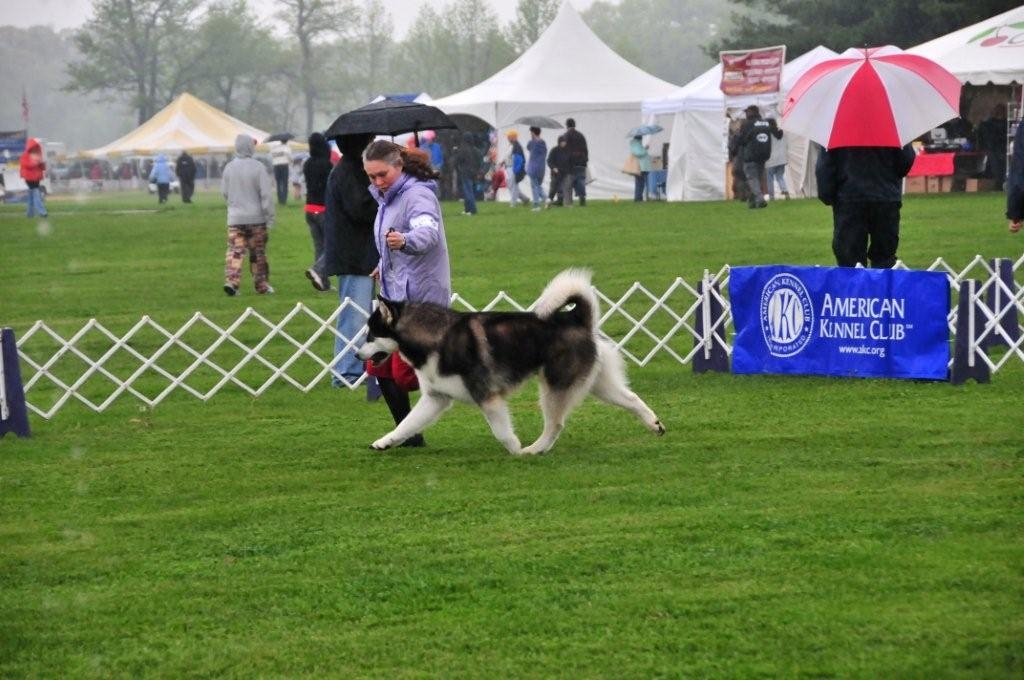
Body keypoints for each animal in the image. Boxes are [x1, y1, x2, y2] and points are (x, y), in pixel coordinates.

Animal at [356, 268, 667, 454]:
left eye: (371, 334)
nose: (358, 356)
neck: (435, 337)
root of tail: (577, 319)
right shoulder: (436, 398)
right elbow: (406, 424)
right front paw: (384, 442)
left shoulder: (488, 398)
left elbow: (502, 432)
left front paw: (516, 450)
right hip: (597, 384)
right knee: (631, 398)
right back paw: (654, 424)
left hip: (555, 386)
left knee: (555, 424)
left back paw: (535, 449)